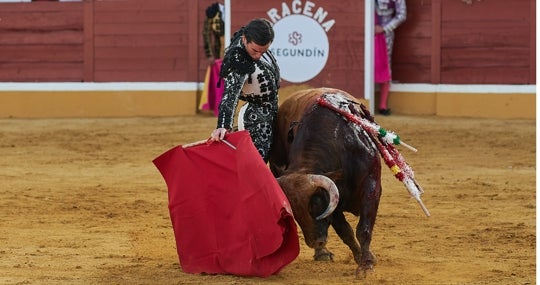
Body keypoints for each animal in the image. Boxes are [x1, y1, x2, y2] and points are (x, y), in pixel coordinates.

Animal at [268, 87, 380, 276]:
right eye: (294, 213)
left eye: (315, 205)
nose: (316, 242)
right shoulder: (335, 202)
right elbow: (345, 231)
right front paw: (359, 257)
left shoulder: (371, 184)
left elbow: (363, 229)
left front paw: (366, 265)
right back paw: (322, 253)